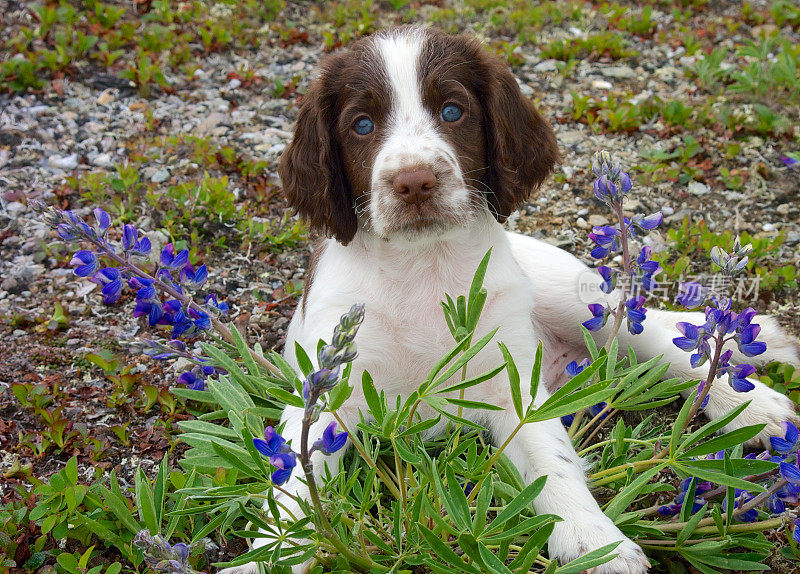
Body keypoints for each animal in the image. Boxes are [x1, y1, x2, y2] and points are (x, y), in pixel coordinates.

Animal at [220, 24, 800, 572]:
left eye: (453, 111)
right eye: (361, 124)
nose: (414, 182)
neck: (422, 265)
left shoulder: (513, 386)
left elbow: (551, 460)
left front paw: (596, 542)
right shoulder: (326, 392)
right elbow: (292, 486)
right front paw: (267, 556)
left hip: (581, 302)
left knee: (659, 339)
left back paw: (751, 403)